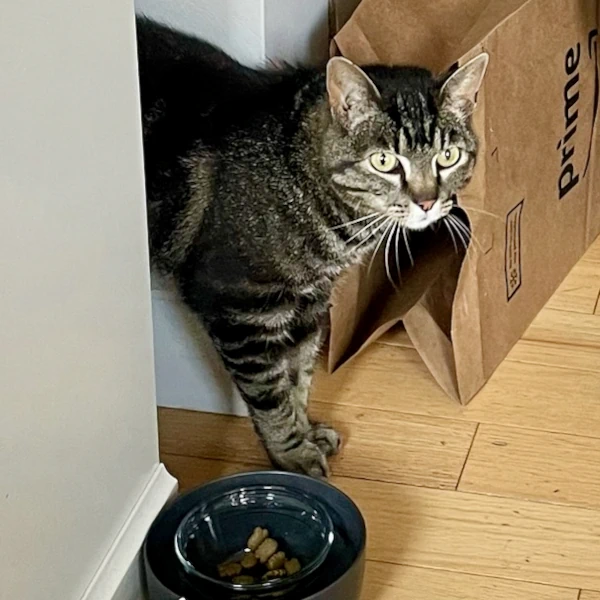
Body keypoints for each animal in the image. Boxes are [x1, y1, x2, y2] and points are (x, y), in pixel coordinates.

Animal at [138, 17, 490, 478]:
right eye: (384, 162)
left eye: (448, 157)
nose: (427, 202)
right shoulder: (242, 311)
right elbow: (271, 396)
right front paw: (292, 456)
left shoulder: (308, 305)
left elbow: (298, 376)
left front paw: (306, 432)